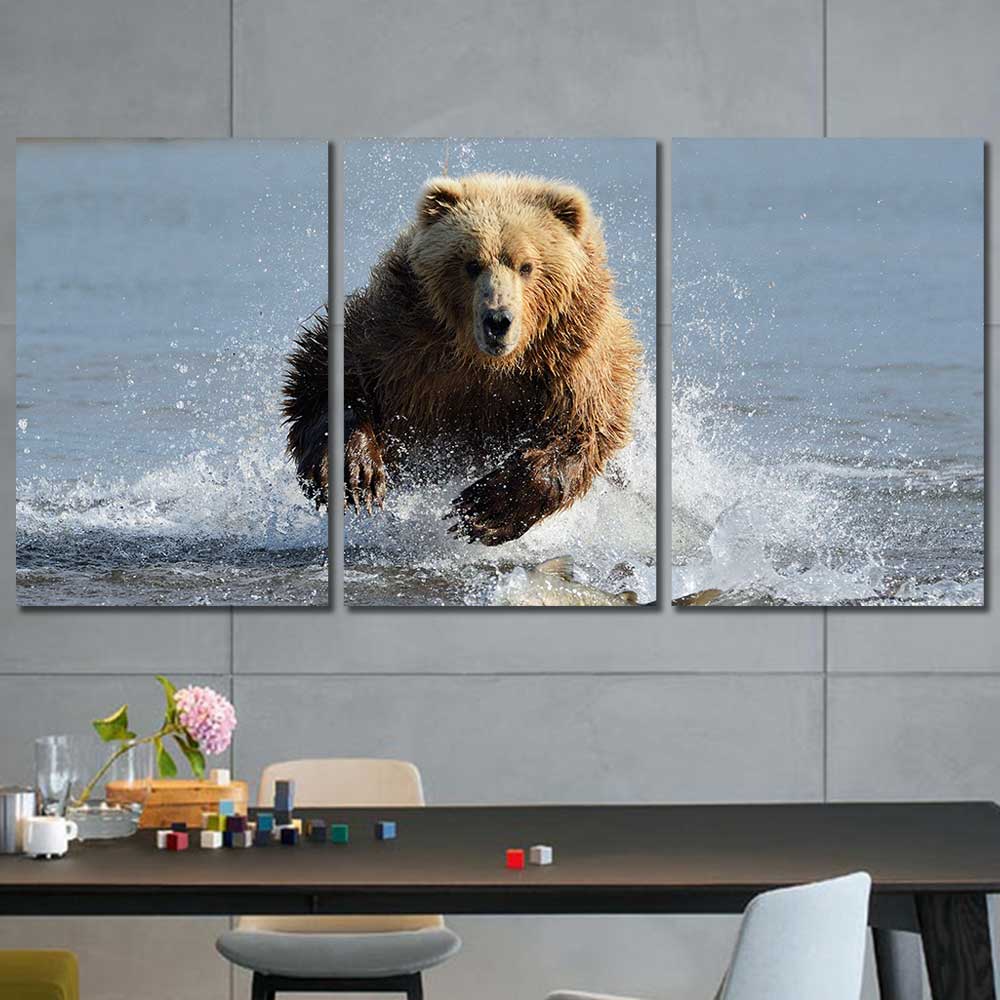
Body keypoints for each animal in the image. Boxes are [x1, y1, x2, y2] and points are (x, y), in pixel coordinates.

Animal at [285, 172, 642, 546]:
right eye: (472, 264)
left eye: (526, 265)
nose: (498, 320)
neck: (486, 361)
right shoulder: (401, 334)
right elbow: (326, 373)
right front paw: (355, 472)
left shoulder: (570, 359)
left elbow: (580, 430)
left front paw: (483, 509)